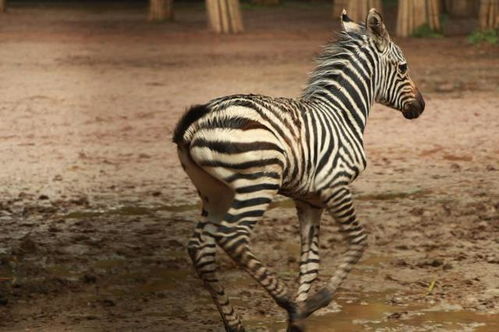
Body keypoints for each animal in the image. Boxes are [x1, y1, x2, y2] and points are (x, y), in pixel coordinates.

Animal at [173, 7, 426, 332]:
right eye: (403, 68)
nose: (421, 106)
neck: (343, 115)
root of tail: (199, 118)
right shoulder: (336, 186)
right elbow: (358, 241)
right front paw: (314, 302)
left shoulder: (309, 199)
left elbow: (310, 262)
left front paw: (298, 318)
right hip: (259, 182)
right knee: (233, 237)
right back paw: (287, 302)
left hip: (215, 192)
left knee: (200, 248)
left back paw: (236, 323)